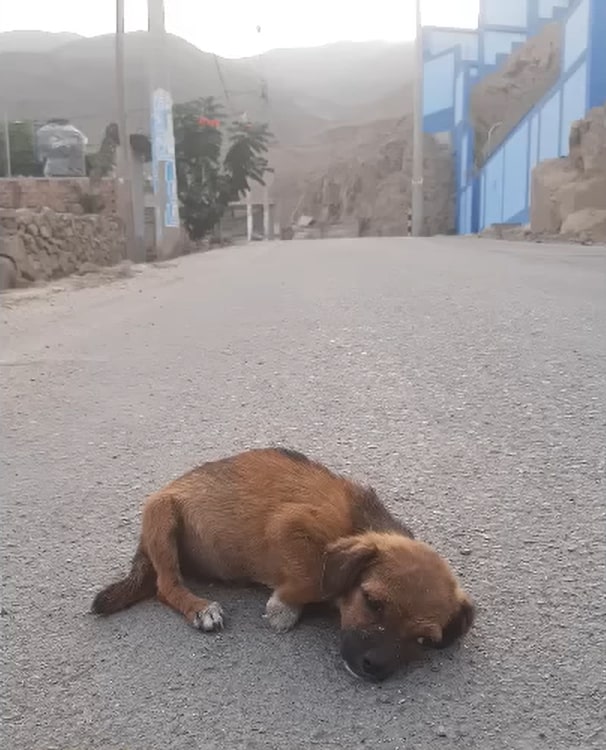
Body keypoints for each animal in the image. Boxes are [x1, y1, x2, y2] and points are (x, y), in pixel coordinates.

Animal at [92, 450, 478, 684]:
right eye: (372, 603)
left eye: (423, 640)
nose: (373, 668)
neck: (356, 526)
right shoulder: (287, 525)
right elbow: (313, 577)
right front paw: (284, 609)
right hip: (162, 515)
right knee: (166, 586)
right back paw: (200, 608)